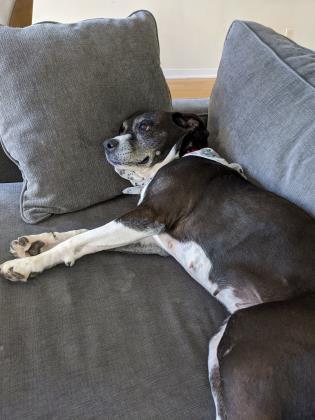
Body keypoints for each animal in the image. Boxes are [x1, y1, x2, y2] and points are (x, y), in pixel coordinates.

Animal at [0, 112, 315, 420]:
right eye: (121, 128)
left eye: (146, 126)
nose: (107, 144)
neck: (179, 157)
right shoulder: (153, 238)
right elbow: (82, 235)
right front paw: (36, 244)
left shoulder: (149, 216)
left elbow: (79, 240)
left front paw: (28, 263)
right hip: (219, 353)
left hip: (247, 348)